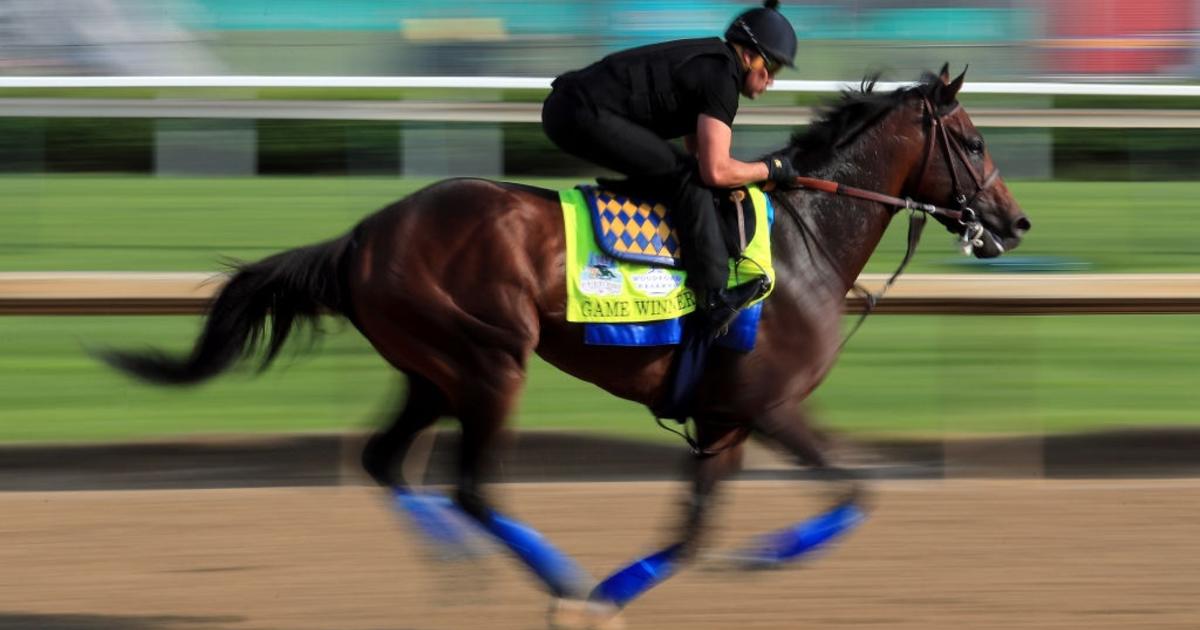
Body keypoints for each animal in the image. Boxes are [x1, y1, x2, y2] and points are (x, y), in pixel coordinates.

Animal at [100, 63, 1032, 624]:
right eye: (975, 140)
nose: (1015, 222)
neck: (806, 243)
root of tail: (363, 235)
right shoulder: (769, 405)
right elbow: (853, 490)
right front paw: (756, 561)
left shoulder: (726, 419)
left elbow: (695, 530)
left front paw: (635, 590)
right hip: (489, 360)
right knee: (474, 487)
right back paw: (557, 581)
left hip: (432, 370)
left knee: (385, 460)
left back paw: (457, 569)